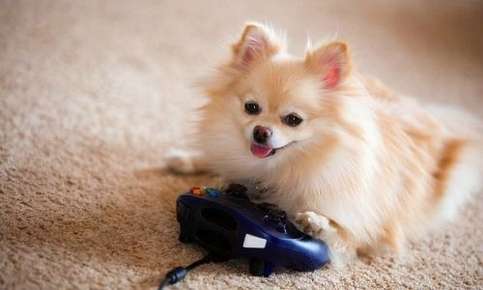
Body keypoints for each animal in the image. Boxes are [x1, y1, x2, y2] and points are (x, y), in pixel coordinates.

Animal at [167, 23, 483, 264]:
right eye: (251, 108)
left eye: (293, 120)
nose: (260, 131)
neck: (286, 166)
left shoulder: (378, 236)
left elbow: (344, 235)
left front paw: (316, 222)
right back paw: (183, 159)